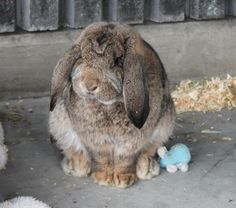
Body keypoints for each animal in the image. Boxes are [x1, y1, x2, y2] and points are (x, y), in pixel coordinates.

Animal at [48, 22, 175, 188]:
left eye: (117, 61)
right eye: (81, 57)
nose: (89, 85)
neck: (108, 105)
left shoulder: (131, 143)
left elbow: (125, 160)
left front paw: (123, 179)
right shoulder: (96, 141)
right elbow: (102, 158)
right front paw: (103, 178)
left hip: (165, 123)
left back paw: (146, 167)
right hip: (59, 126)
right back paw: (76, 165)